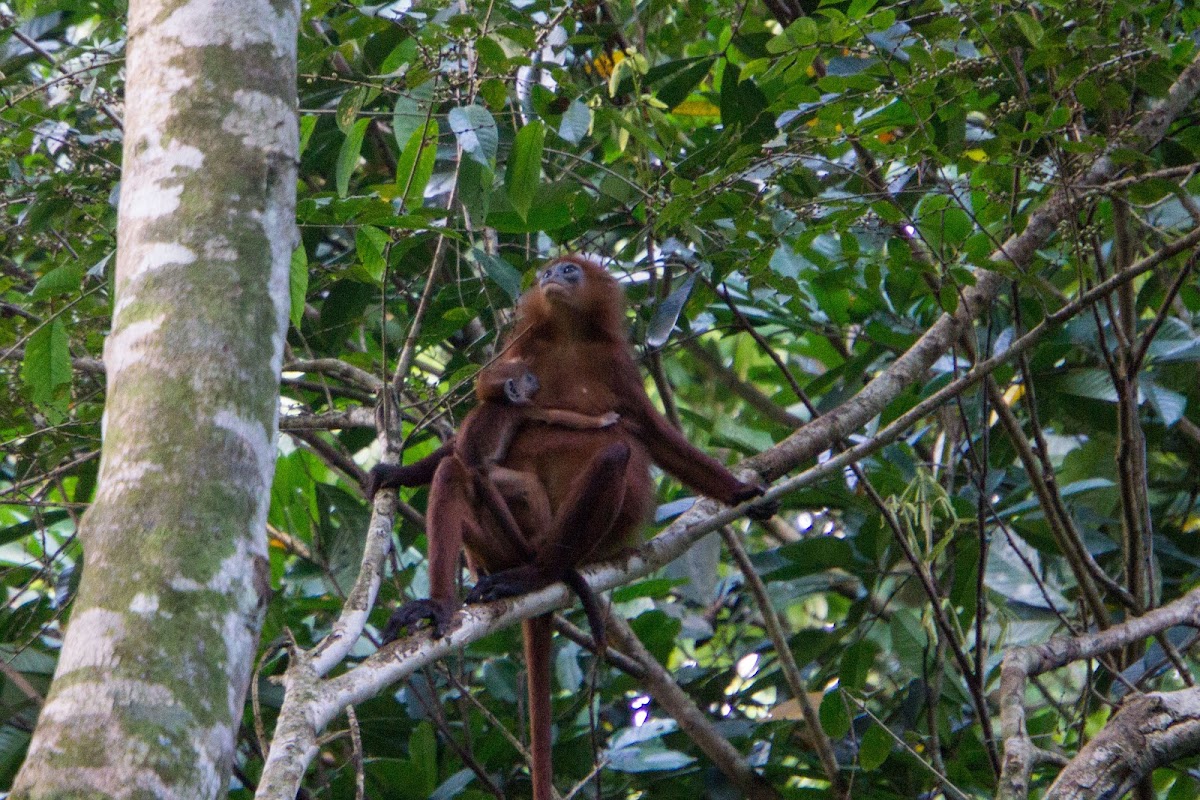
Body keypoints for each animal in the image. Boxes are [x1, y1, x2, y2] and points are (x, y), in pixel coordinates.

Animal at [367, 253, 777, 800]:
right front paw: (399, 473)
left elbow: (651, 436)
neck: (567, 336)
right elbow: (465, 444)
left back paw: (541, 572)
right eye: (550, 270)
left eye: (569, 270)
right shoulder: (521, 353)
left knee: (614, 454)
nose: (548, 277)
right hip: (491, 546)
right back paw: (445, 602)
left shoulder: (616, 365)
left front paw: (737, 494)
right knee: (457, 472)